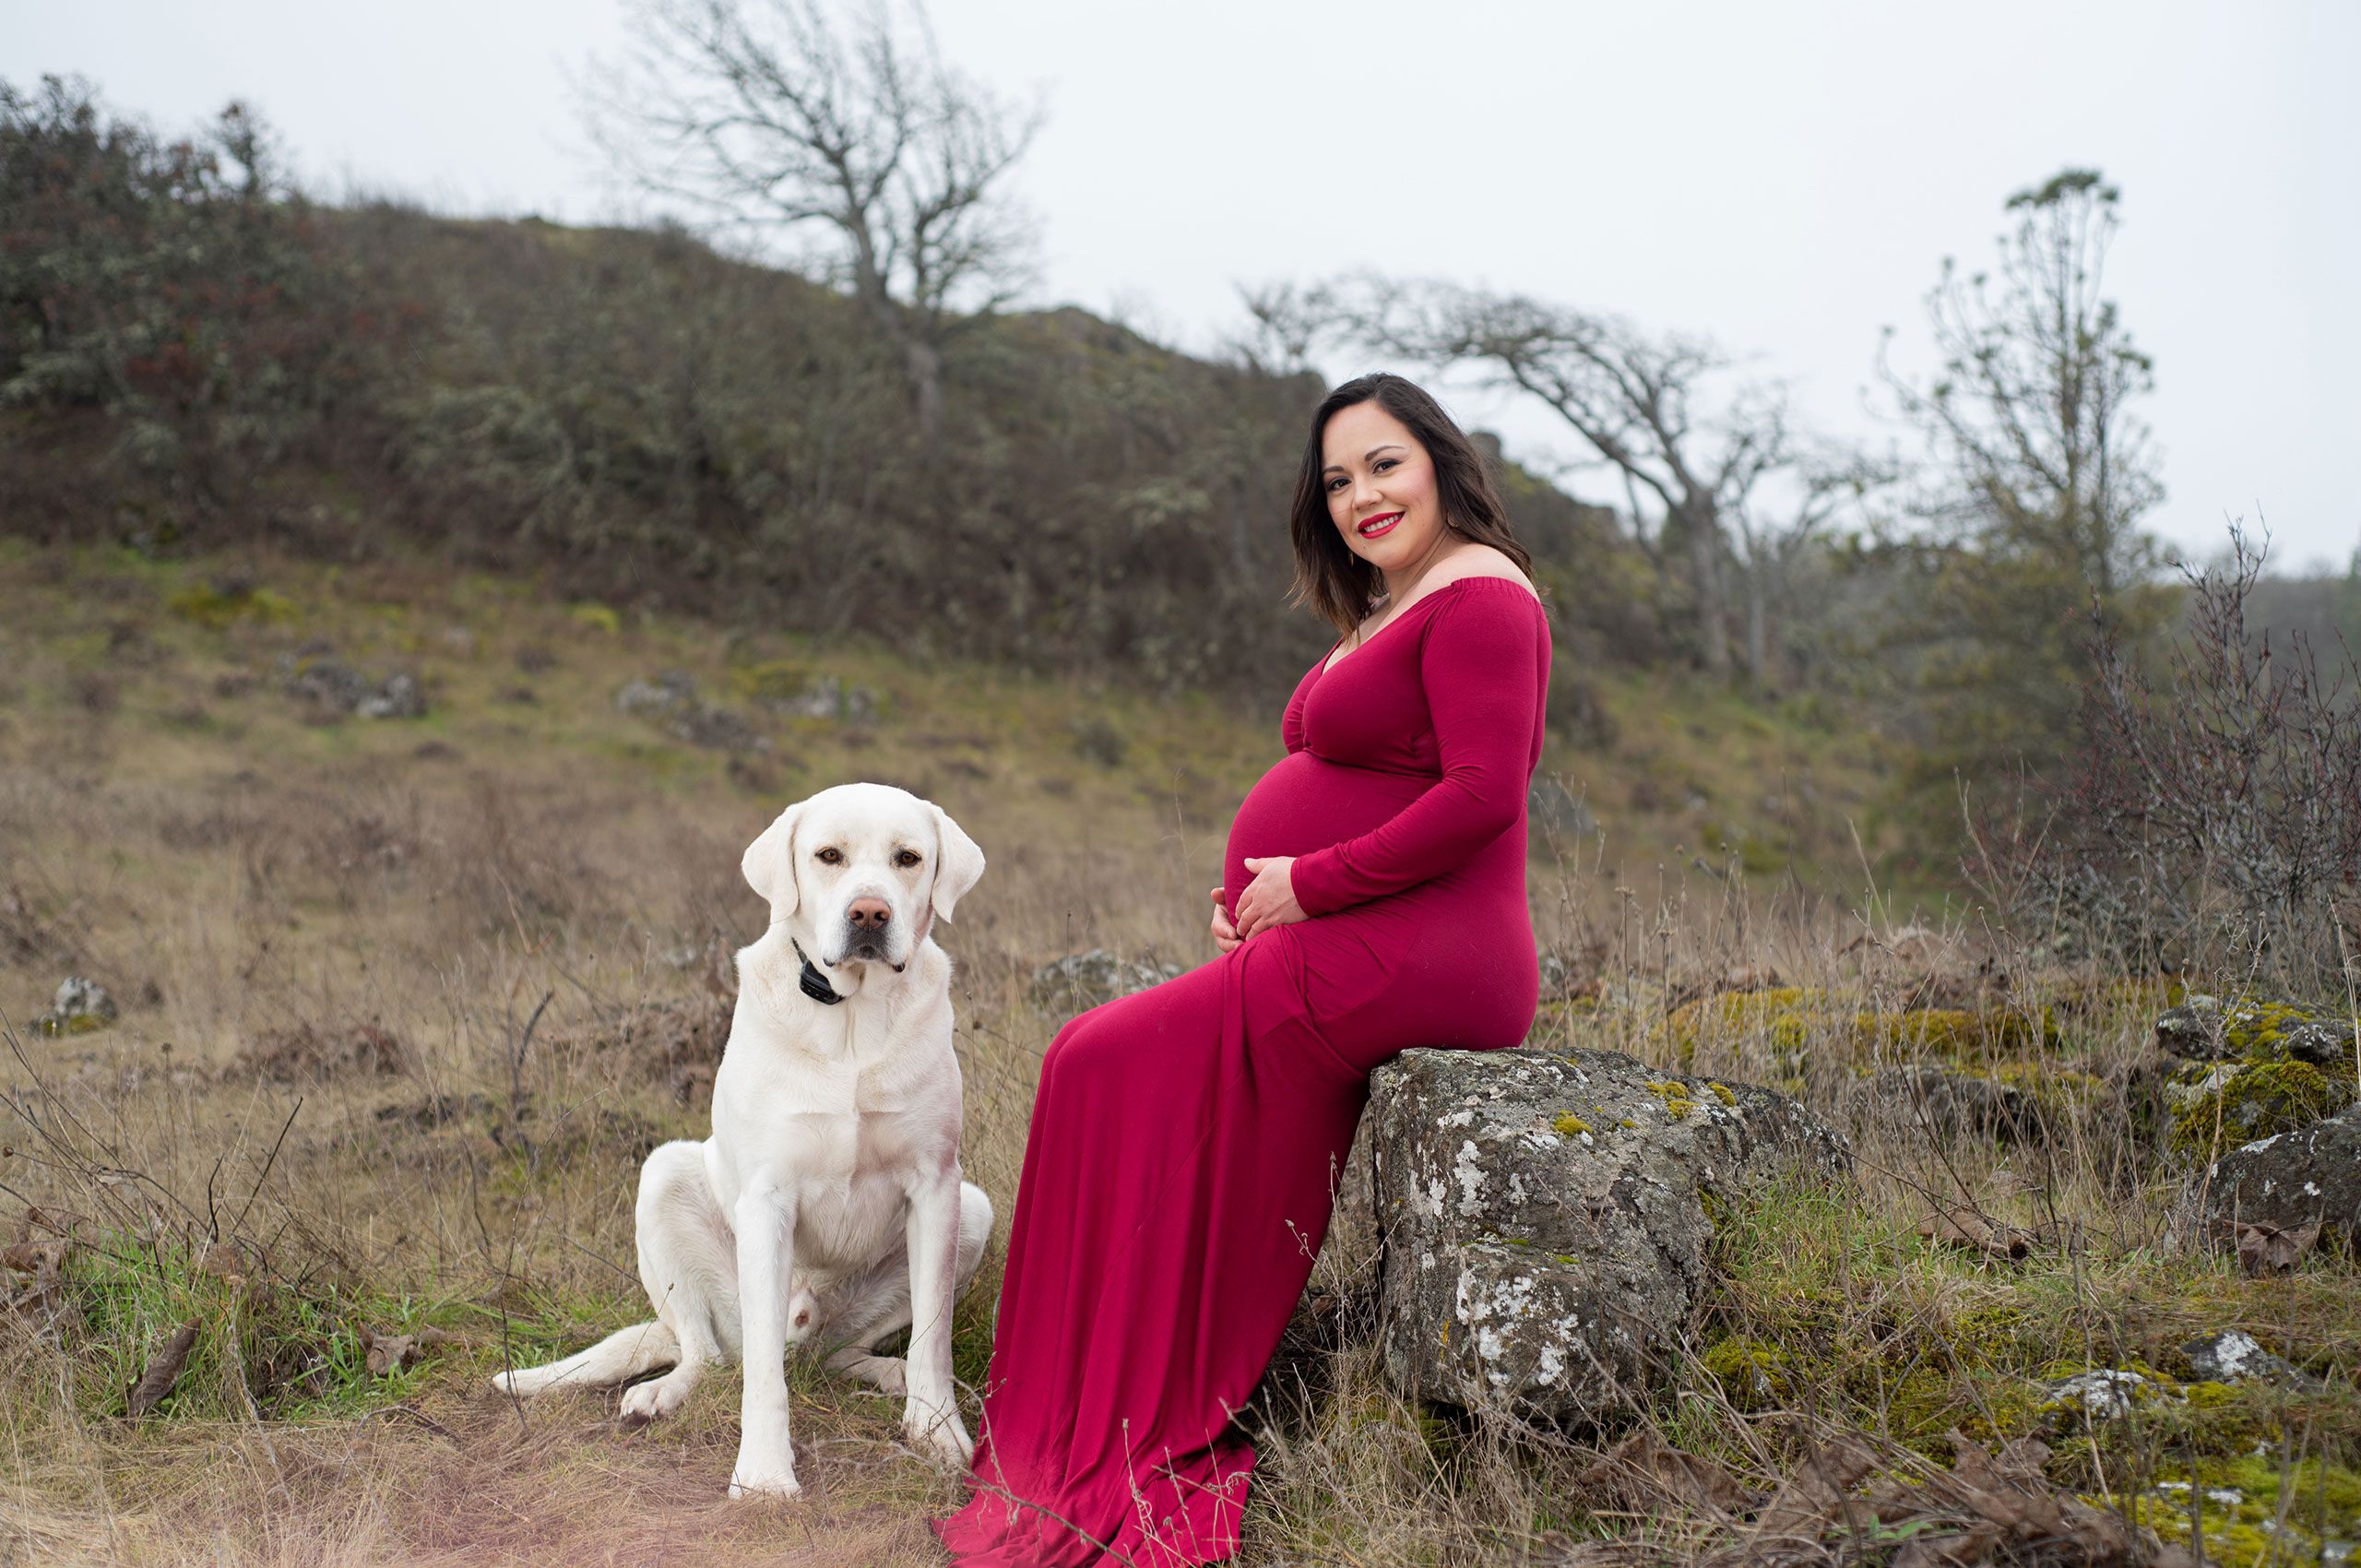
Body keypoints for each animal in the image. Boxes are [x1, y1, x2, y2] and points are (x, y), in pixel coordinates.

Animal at [493, 784, 991, 1492]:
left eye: (908, 858)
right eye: (829, 856)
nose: (870, 913)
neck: (852, 1018)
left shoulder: (937, 1185)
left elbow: (934, 1338)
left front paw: (937, 1429)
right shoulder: (767, 1198)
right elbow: (761, 1377)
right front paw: (763, 1477)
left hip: (972, 1212)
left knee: (836, 1354)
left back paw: (883, 1372)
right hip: (665, 1178)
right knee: (713, 1355)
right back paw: (663, 1392)